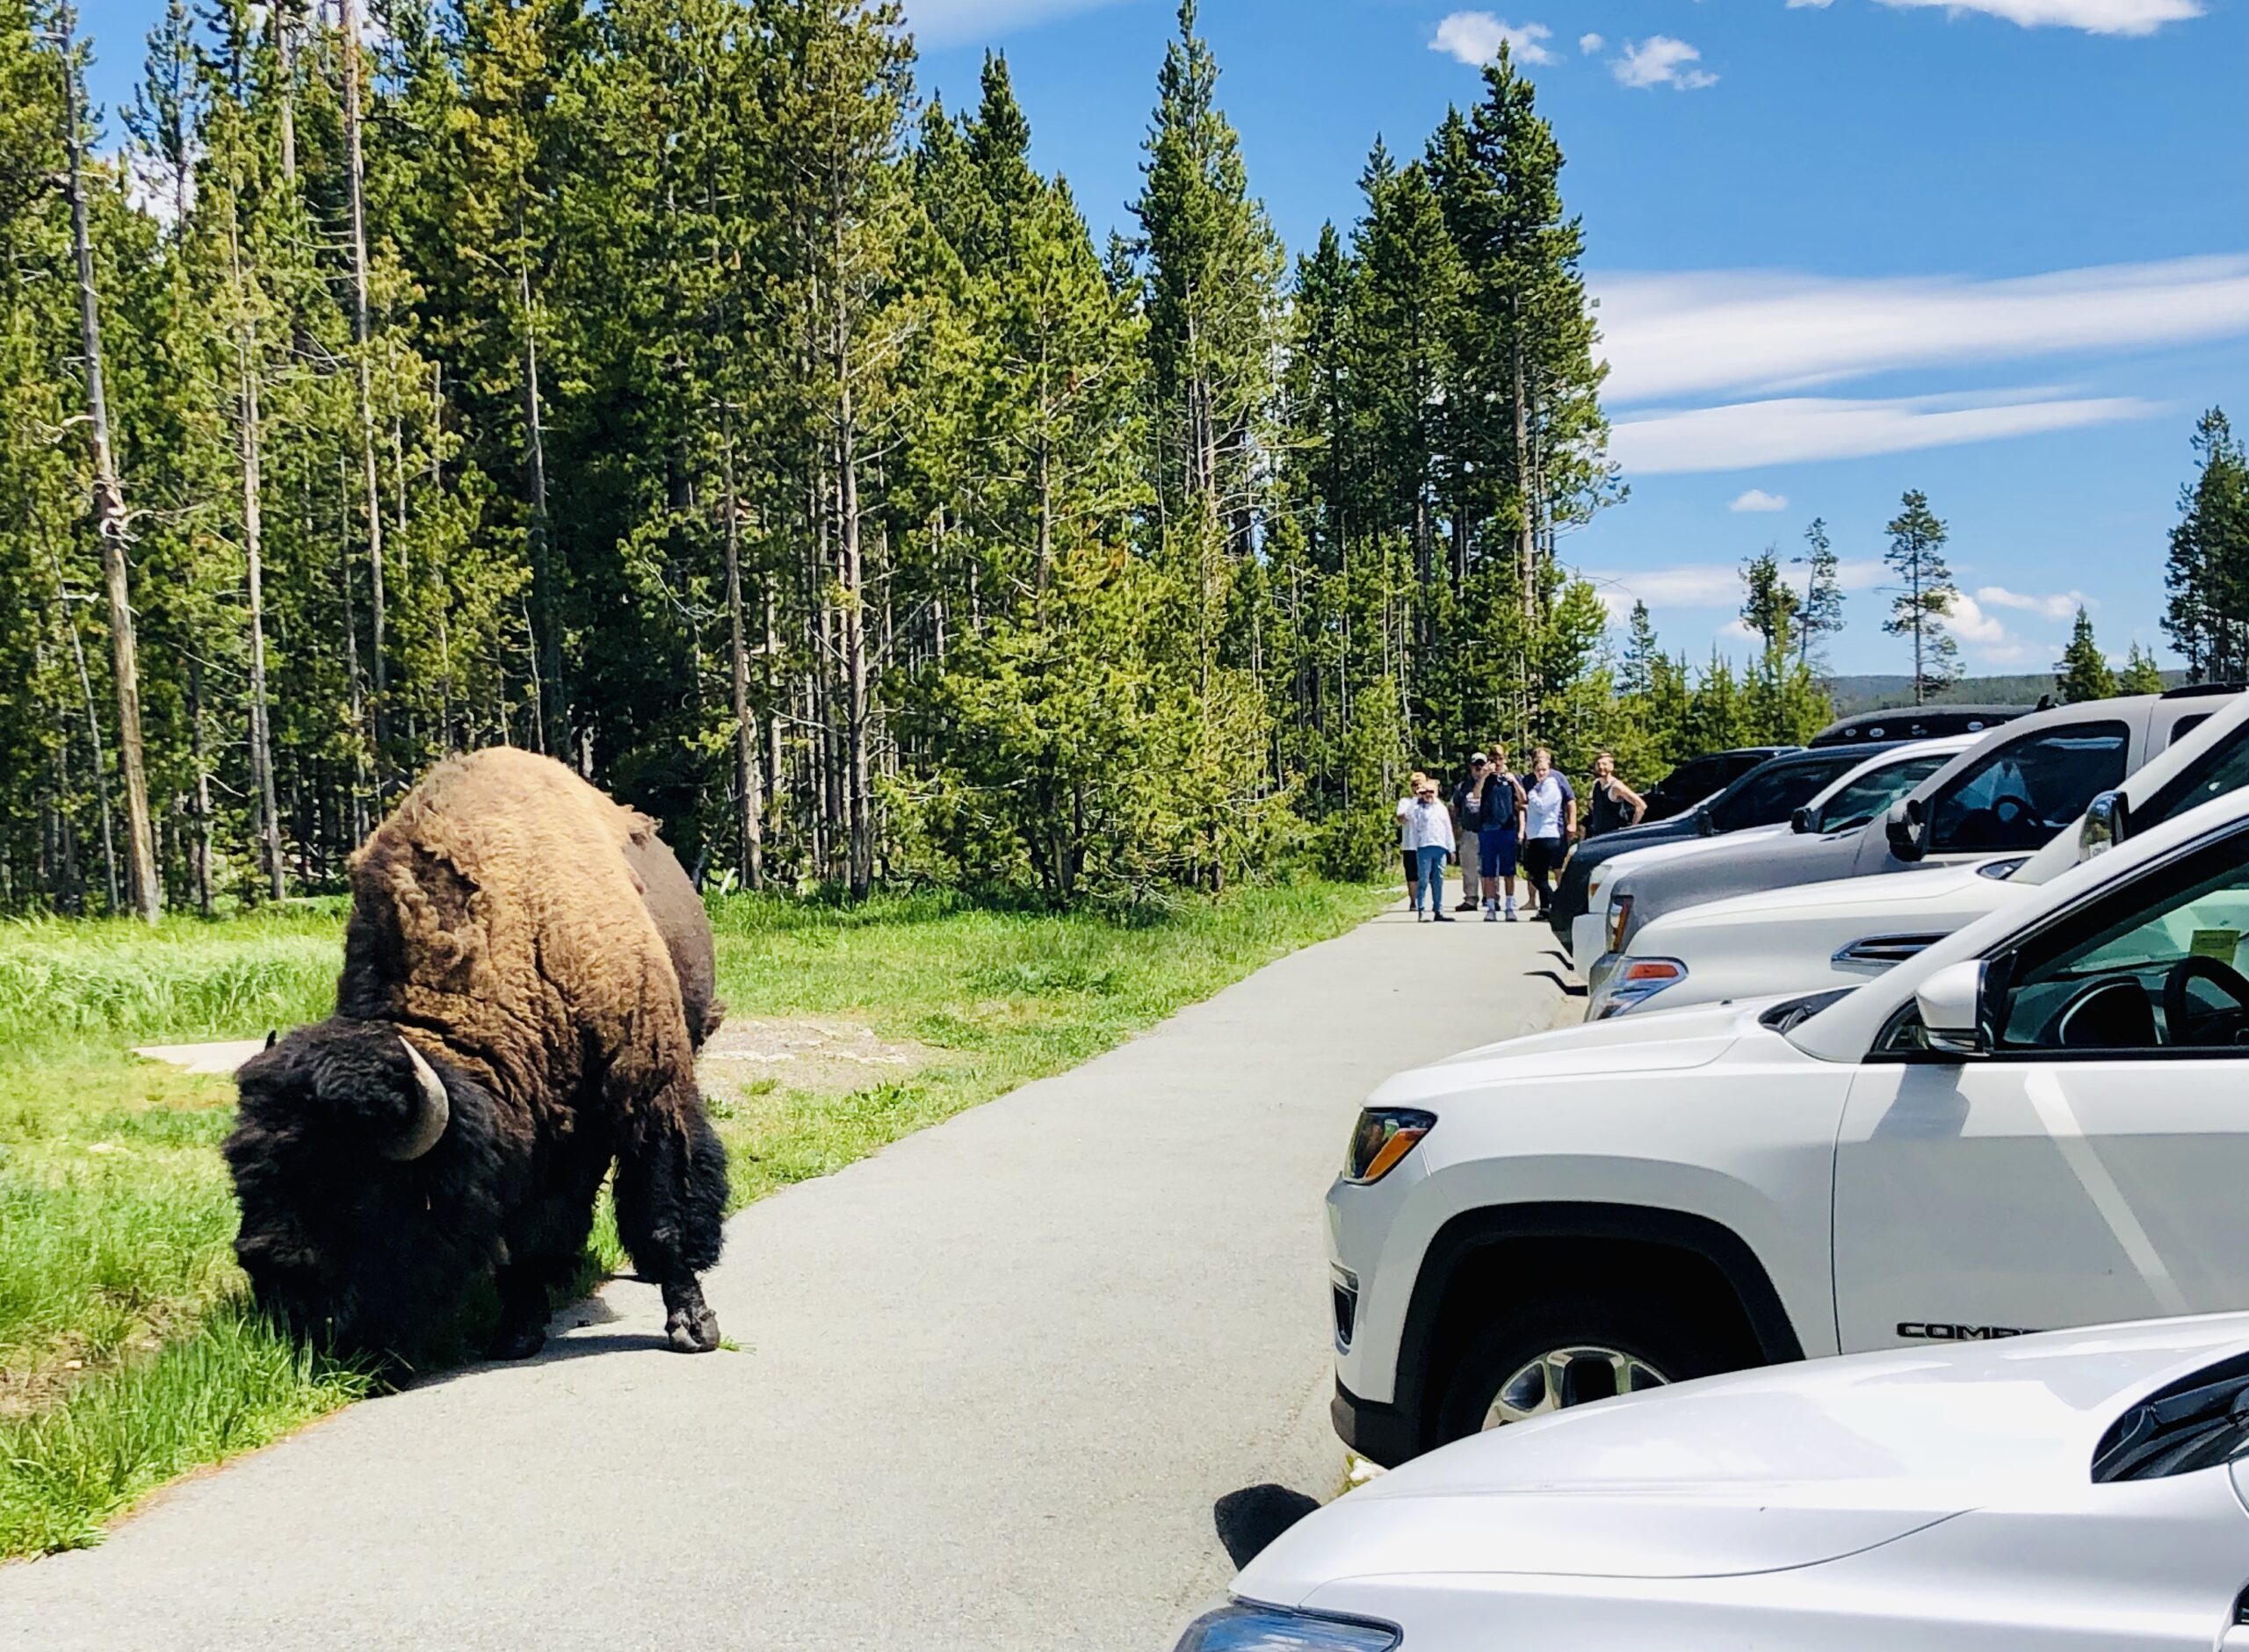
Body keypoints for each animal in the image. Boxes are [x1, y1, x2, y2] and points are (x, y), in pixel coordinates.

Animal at [226, 750, 728, 1366]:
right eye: (245, 1181)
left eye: (359, 1197)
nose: (284, 1300)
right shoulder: (533, 1133)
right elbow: (524, 1235)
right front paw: (516, 1331)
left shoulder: (649, 1091)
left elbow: (664, 1214)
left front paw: (694, 1329)